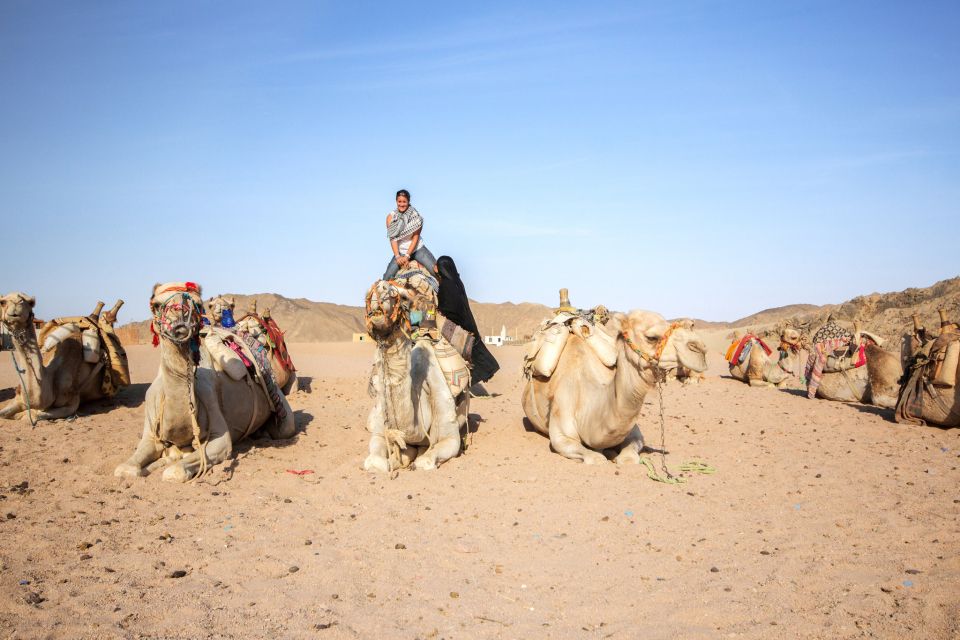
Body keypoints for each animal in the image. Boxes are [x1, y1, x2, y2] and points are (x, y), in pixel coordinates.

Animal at [0, 292, 127, 422]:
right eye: (2, 302)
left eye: (30, 302)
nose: (16, 303)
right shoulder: (19, 397)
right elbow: (3, 414)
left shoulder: (72, 402)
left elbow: (34, 415)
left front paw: (23, 414)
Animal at [113, 282, 294, 482]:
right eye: (156, 305)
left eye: (198, 304)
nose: (180, 322)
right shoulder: (150, 430)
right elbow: (124, 469)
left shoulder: (218, 430)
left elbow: (175, 472)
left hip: (281, 409)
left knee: (285, 426)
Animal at [362, 278, 466, 472]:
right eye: (367, 293)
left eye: (403, 296)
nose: (381, 288)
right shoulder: (381, 432)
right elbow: (375, 460)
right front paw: (396, 460)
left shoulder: (450, 437)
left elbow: (425, 460)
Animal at [520, 308, 708, 462]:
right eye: (651, 337)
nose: (700, 349)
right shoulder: (561, 435)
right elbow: (597, 458)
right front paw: (605, 454)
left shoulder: (634, 433)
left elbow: (628, 458)